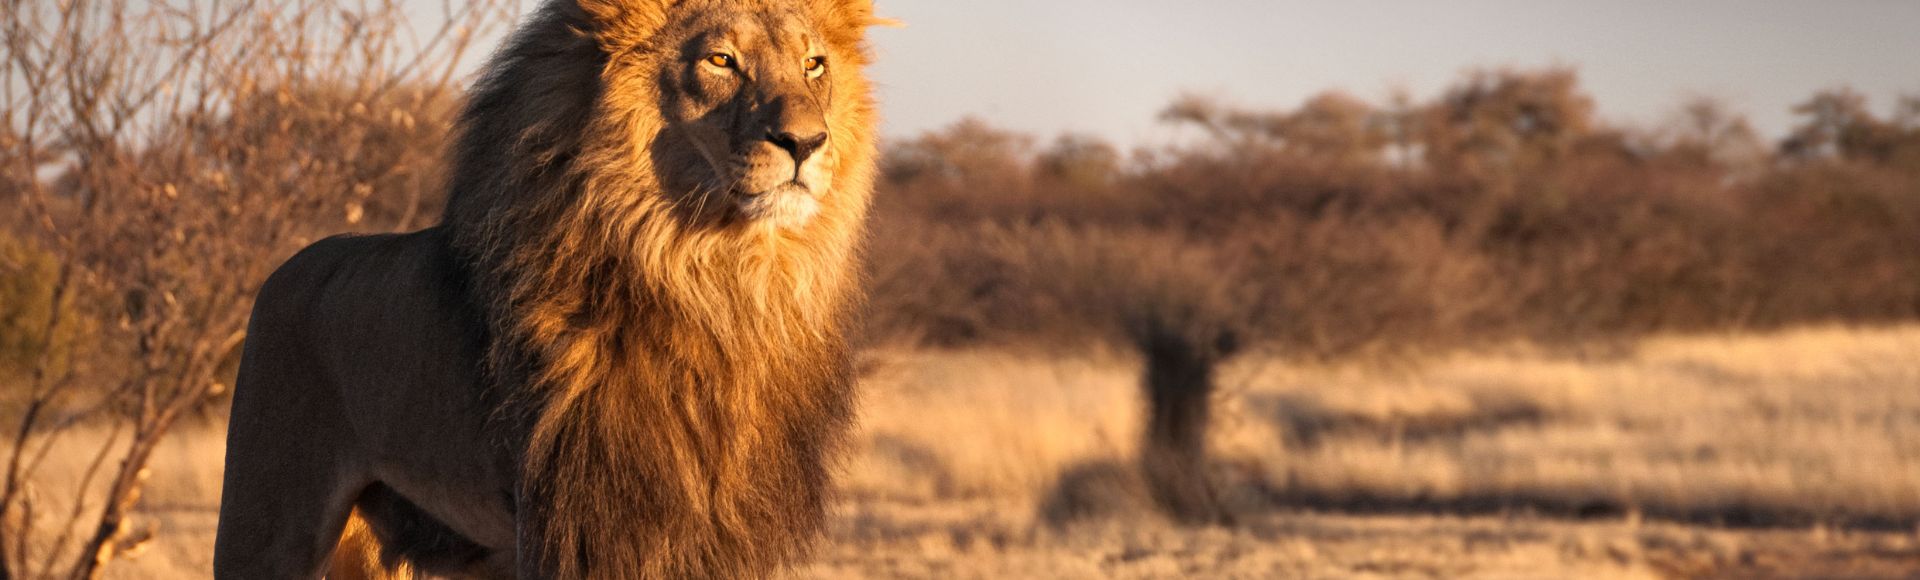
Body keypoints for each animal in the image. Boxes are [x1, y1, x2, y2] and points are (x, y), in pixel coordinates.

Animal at [213, 0, 884, 577]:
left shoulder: (725, 538)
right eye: (721, 60)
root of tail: (286, 268)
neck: (722, 283)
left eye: (813, 65)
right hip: (267, 525)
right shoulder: (579, 529)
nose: (805, 142)